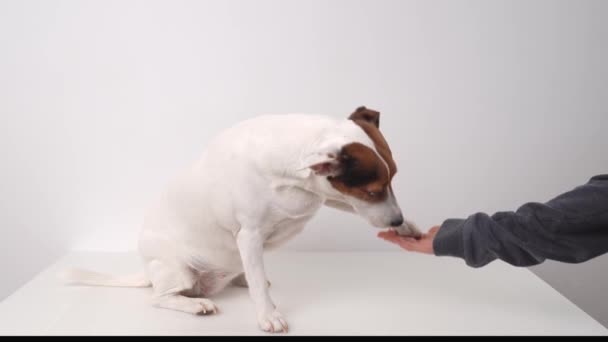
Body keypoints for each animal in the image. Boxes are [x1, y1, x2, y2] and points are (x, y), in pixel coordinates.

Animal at [63, 106, 422, 332]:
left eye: (393, 178)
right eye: (373, 191)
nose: (396, 221)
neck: (289, 171)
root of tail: (147, 272)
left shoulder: (326, 192)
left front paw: (410, 227)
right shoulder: (249, 235)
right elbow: (260, 290)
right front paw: (268, 316)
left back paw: (241, 279)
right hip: (178, 270)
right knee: (159, 298)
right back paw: (195, 304)